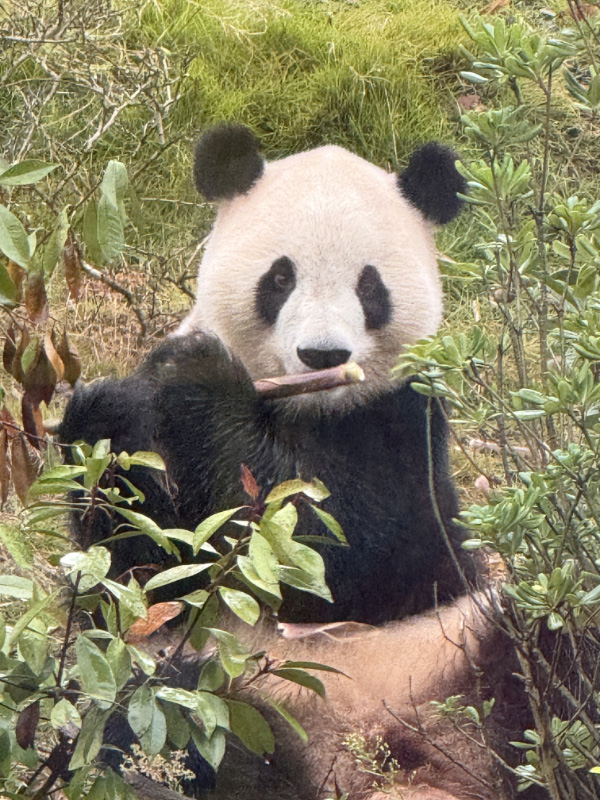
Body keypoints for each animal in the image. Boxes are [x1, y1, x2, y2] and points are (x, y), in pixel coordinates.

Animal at [59, 123, 475, 626]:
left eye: (369, 286)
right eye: (280, 279)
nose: (322, 354)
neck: (305, 407)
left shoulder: (407, 418)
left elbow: (344, 543)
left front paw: (201, 377)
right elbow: (142, 567)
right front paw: (108, 414)